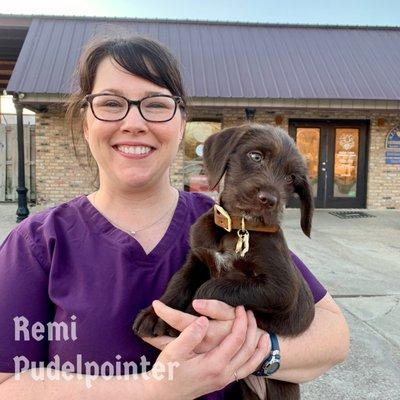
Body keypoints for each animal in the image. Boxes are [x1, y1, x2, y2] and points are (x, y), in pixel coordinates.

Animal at [134, 123, 316, 398]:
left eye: (291, 179)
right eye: (255, 156)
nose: (269, 200)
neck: (239, 229)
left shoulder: (281, 289)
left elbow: (211, 288)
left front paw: (192, 312)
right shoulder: (197, 259)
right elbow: (178, 283)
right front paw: (156, 314)